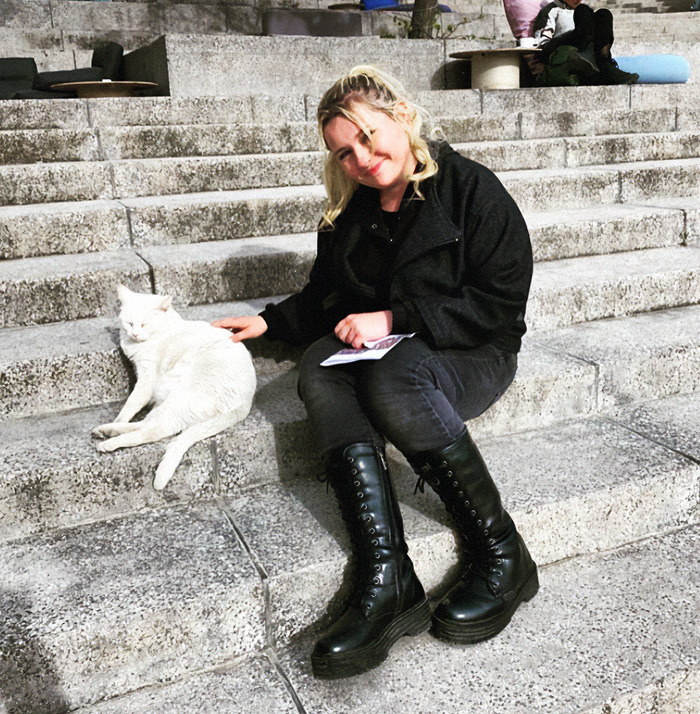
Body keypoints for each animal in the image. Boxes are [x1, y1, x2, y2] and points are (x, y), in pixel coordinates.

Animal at [91, 286, 258, 490]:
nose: (135, 334)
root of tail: (246, 403)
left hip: (180, 399)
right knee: (146, 423)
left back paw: (110, 442)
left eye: (144, 324)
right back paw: (105, 430)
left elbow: (132, 403)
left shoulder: (147, 378)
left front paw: (120, 418)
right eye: (129, 323)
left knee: (150, 431)